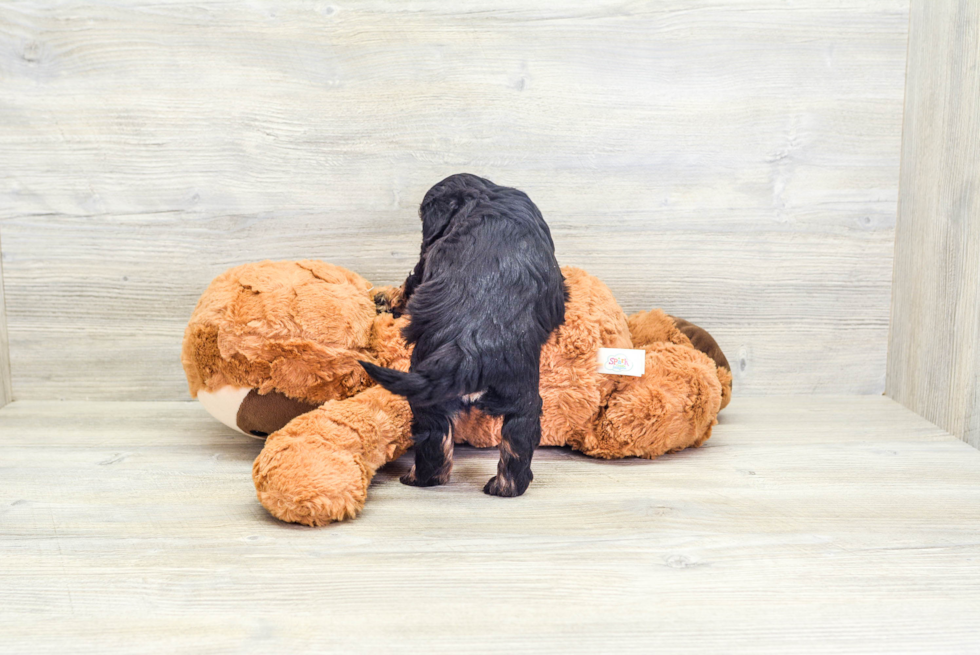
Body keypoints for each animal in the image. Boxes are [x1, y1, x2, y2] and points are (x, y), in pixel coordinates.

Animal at [358, 174, 568, 498]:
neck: (483, 194)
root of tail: (469, 350)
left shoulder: (426, 258)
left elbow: (411, 281)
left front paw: (387, 300)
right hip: (521, 393)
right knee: (518, 437)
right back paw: (505, 487)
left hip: (432, 394)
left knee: (435, 437)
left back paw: (420, 478)